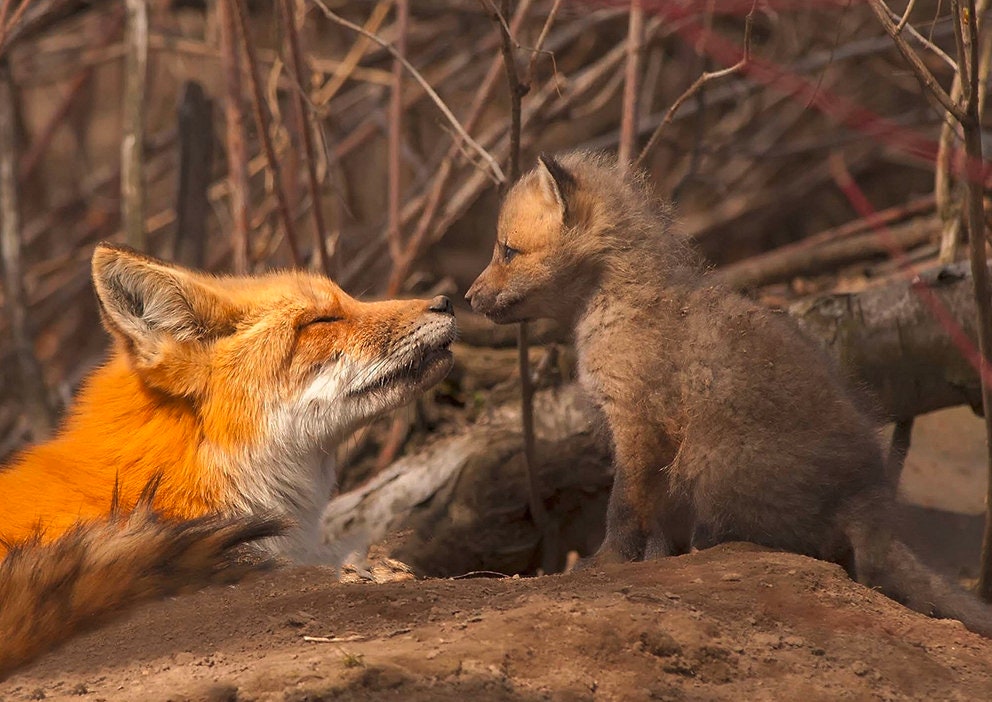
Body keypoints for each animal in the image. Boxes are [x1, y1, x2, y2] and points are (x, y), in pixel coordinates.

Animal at [468, 153, 992, 640]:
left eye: (508, 251)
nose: (469, 298)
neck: (617, 304)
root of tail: (867, 496)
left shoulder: (638, 425)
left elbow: (624, 510)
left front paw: (606, 564)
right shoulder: (656, 445)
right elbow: (657, 526)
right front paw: (652, 564)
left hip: (710, 468)